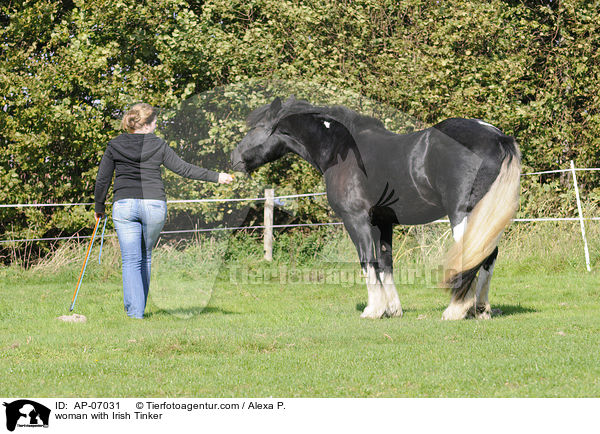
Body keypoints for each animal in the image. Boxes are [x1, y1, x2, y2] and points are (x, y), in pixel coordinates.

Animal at [231, 96, 520, 320]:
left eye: (256, 128)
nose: (234, 159)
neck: (343, 150)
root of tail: (498, 137)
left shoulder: (356, 220)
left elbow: (367, 261)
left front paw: (374, 309)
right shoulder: (383, 222)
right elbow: (385, 262)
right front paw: (393, 309)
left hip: (463, 215)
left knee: (471, 255)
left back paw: (455, 310)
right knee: (487, 256)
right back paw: (480, 309)